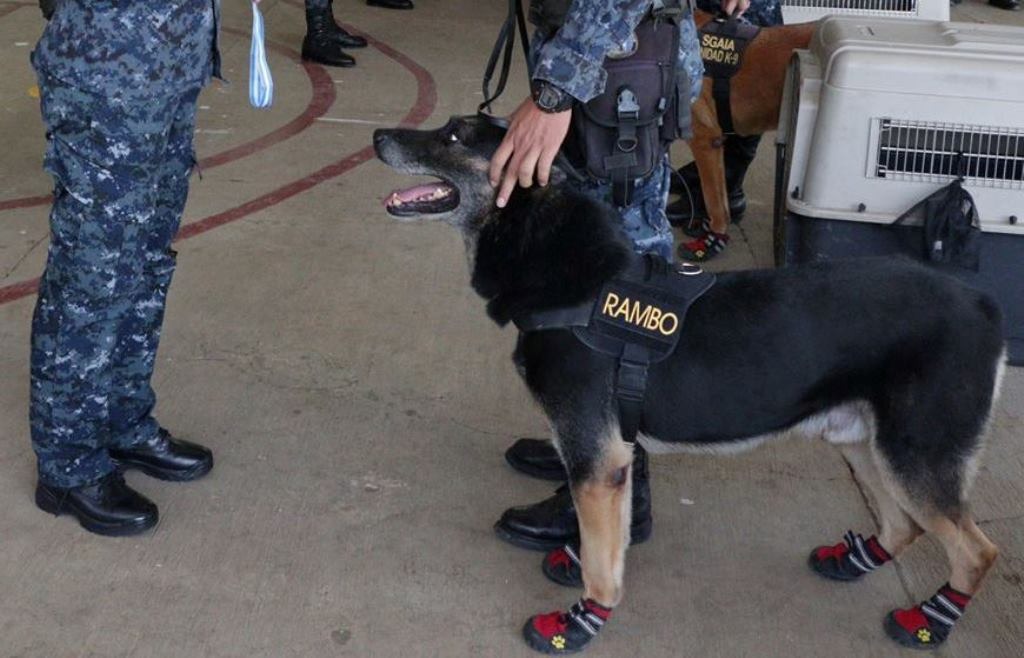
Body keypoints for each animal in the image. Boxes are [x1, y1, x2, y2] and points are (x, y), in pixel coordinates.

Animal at [372, 115, 1003, 654]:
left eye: (454, 135)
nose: (377, 136)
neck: (574, 283)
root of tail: (982, 303)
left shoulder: (596, 461)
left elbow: (604, 566)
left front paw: (579, 623)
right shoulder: (611, 458)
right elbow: (609, 537)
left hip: (914, 455)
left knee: (975, 550)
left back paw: (929, 620)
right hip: (865, 443)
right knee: (904, 524)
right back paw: (857, 559)